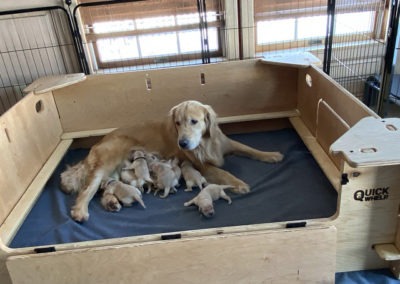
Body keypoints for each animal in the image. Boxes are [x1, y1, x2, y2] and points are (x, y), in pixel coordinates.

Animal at [61, 100, 282, 222]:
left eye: (194, 121)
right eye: (177, 123)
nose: (182, 143)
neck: (205, 142)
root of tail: (101, 140)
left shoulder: (225, 144)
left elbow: (249, 148)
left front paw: (271, 155)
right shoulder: (202, 166)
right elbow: (223, 172)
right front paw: (238, 183)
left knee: (103, 190)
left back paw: (111, 203)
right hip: (104, 165)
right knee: (87, 191)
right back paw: (80, 211)